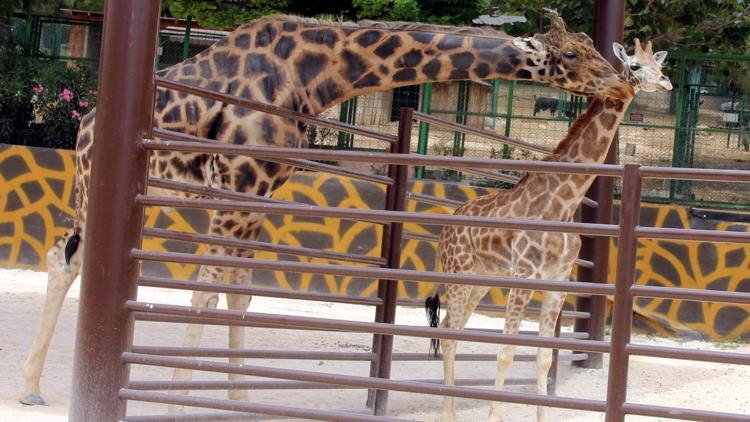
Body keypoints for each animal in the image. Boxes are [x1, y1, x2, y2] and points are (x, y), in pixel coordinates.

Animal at [19, 13, 628, 406]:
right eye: (571, 53)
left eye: (591, 46)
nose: (620, 80)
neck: (318, 75)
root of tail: (84, 122)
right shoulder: (236, 187)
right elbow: (203, 294)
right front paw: (177, 401)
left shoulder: (259, 194)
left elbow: (237, 297)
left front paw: (233, 397)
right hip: (96, 186)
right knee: (64, 261)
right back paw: (30, 387)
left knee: (64, 258)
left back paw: (31, 385)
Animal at [428, 38, 676, 420]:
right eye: (634, 65)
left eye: (659, 64)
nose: (666, 82)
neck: (566, 202)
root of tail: (445, 231)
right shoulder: (525, 276)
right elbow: (506, 352)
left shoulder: (557, 282)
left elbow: (543, 358)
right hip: (459, 275)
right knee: (451, 335)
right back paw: (447, 414)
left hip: (482, 280)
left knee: (452, 329)